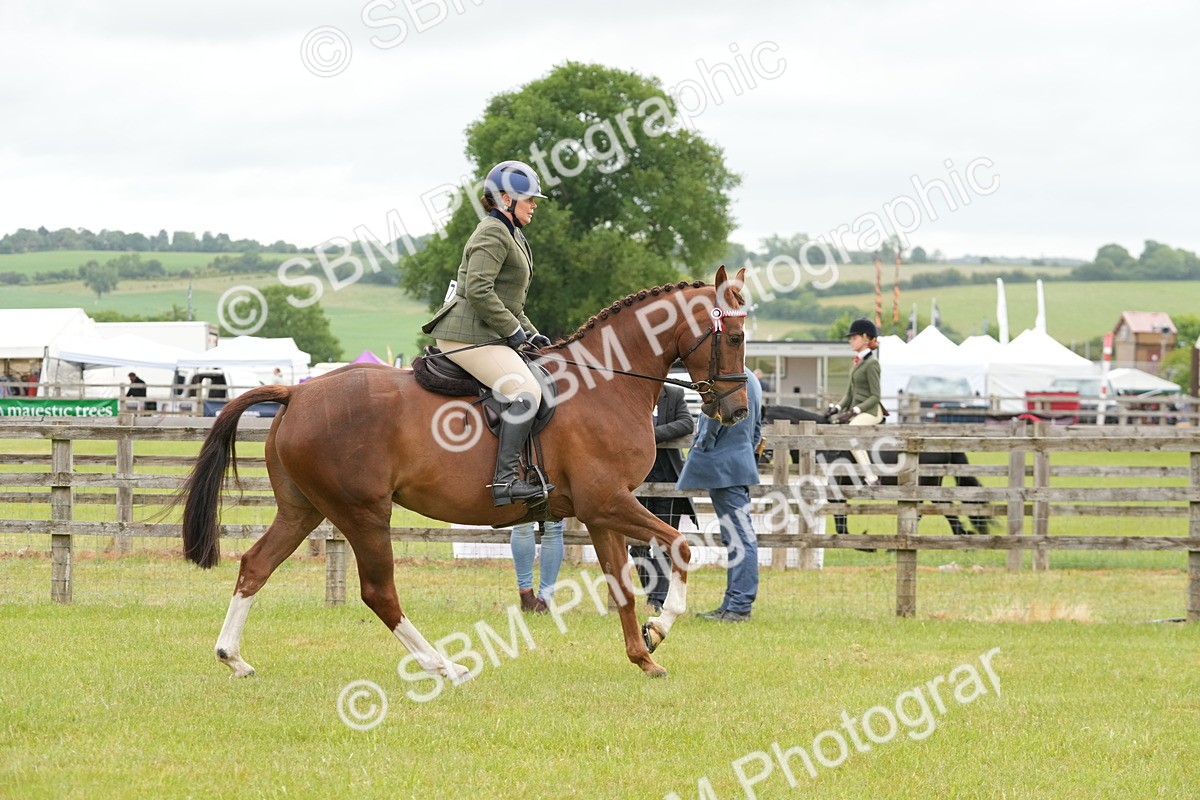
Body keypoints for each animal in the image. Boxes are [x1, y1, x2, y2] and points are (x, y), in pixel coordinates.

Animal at [175, 266, 750, 680]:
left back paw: (233, 657)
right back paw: (443, 665)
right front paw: (662, 626)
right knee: (378, 592)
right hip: (362, 512)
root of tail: (298, 393)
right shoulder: (608, 502)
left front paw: (644, 654)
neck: (606, 382)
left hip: (304, 509)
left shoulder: (601, 511)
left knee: (256, 564)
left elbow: (623, 586)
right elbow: (680, 545)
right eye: (736, 337)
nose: (738, 411)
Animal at [760, 405, 992, 537]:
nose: (765, 455)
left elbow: (841, 523)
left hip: (929, 484)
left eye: (762, 422)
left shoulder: (835, 492)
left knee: (943, 509)